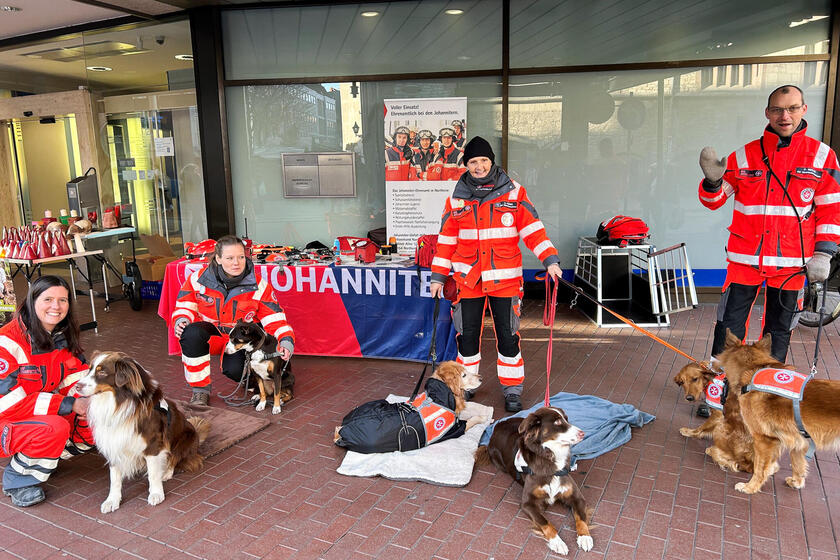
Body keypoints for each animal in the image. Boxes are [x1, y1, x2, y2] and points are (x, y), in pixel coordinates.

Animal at [476, 406, 592, 556]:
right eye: (557, 422)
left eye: (567, 419)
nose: (583, 434)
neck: (549, 458)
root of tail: (498, 425)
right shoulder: (527, 503)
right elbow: (546, 522)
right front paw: (557, 542)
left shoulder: (577, 497)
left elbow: (581, 518)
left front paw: (585, 537)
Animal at [716, 330, 840, 492]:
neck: (754, 369)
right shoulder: (800, 440)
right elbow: (797, 463)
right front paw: (797, 482)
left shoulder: (763, 439)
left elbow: (759, 468)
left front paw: (750, 487)